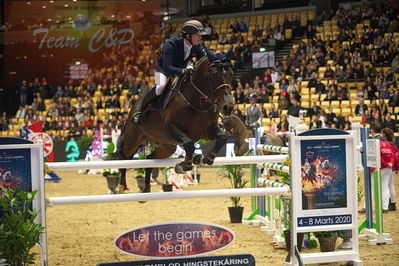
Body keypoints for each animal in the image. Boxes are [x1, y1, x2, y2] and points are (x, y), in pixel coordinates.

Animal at [115, 56, 234, 193]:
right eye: (214, 74)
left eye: (231, 73)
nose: (228, 107)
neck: (198, 103)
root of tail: (133, 106)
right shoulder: (171, 130)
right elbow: (189, 146)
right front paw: (183, 165)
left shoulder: (207, 131)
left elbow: (222, 137)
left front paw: (206, 159)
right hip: (133, 140)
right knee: (125, 156)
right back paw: (121, 186)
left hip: (167, 147)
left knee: (149, 158)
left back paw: (146, 189)